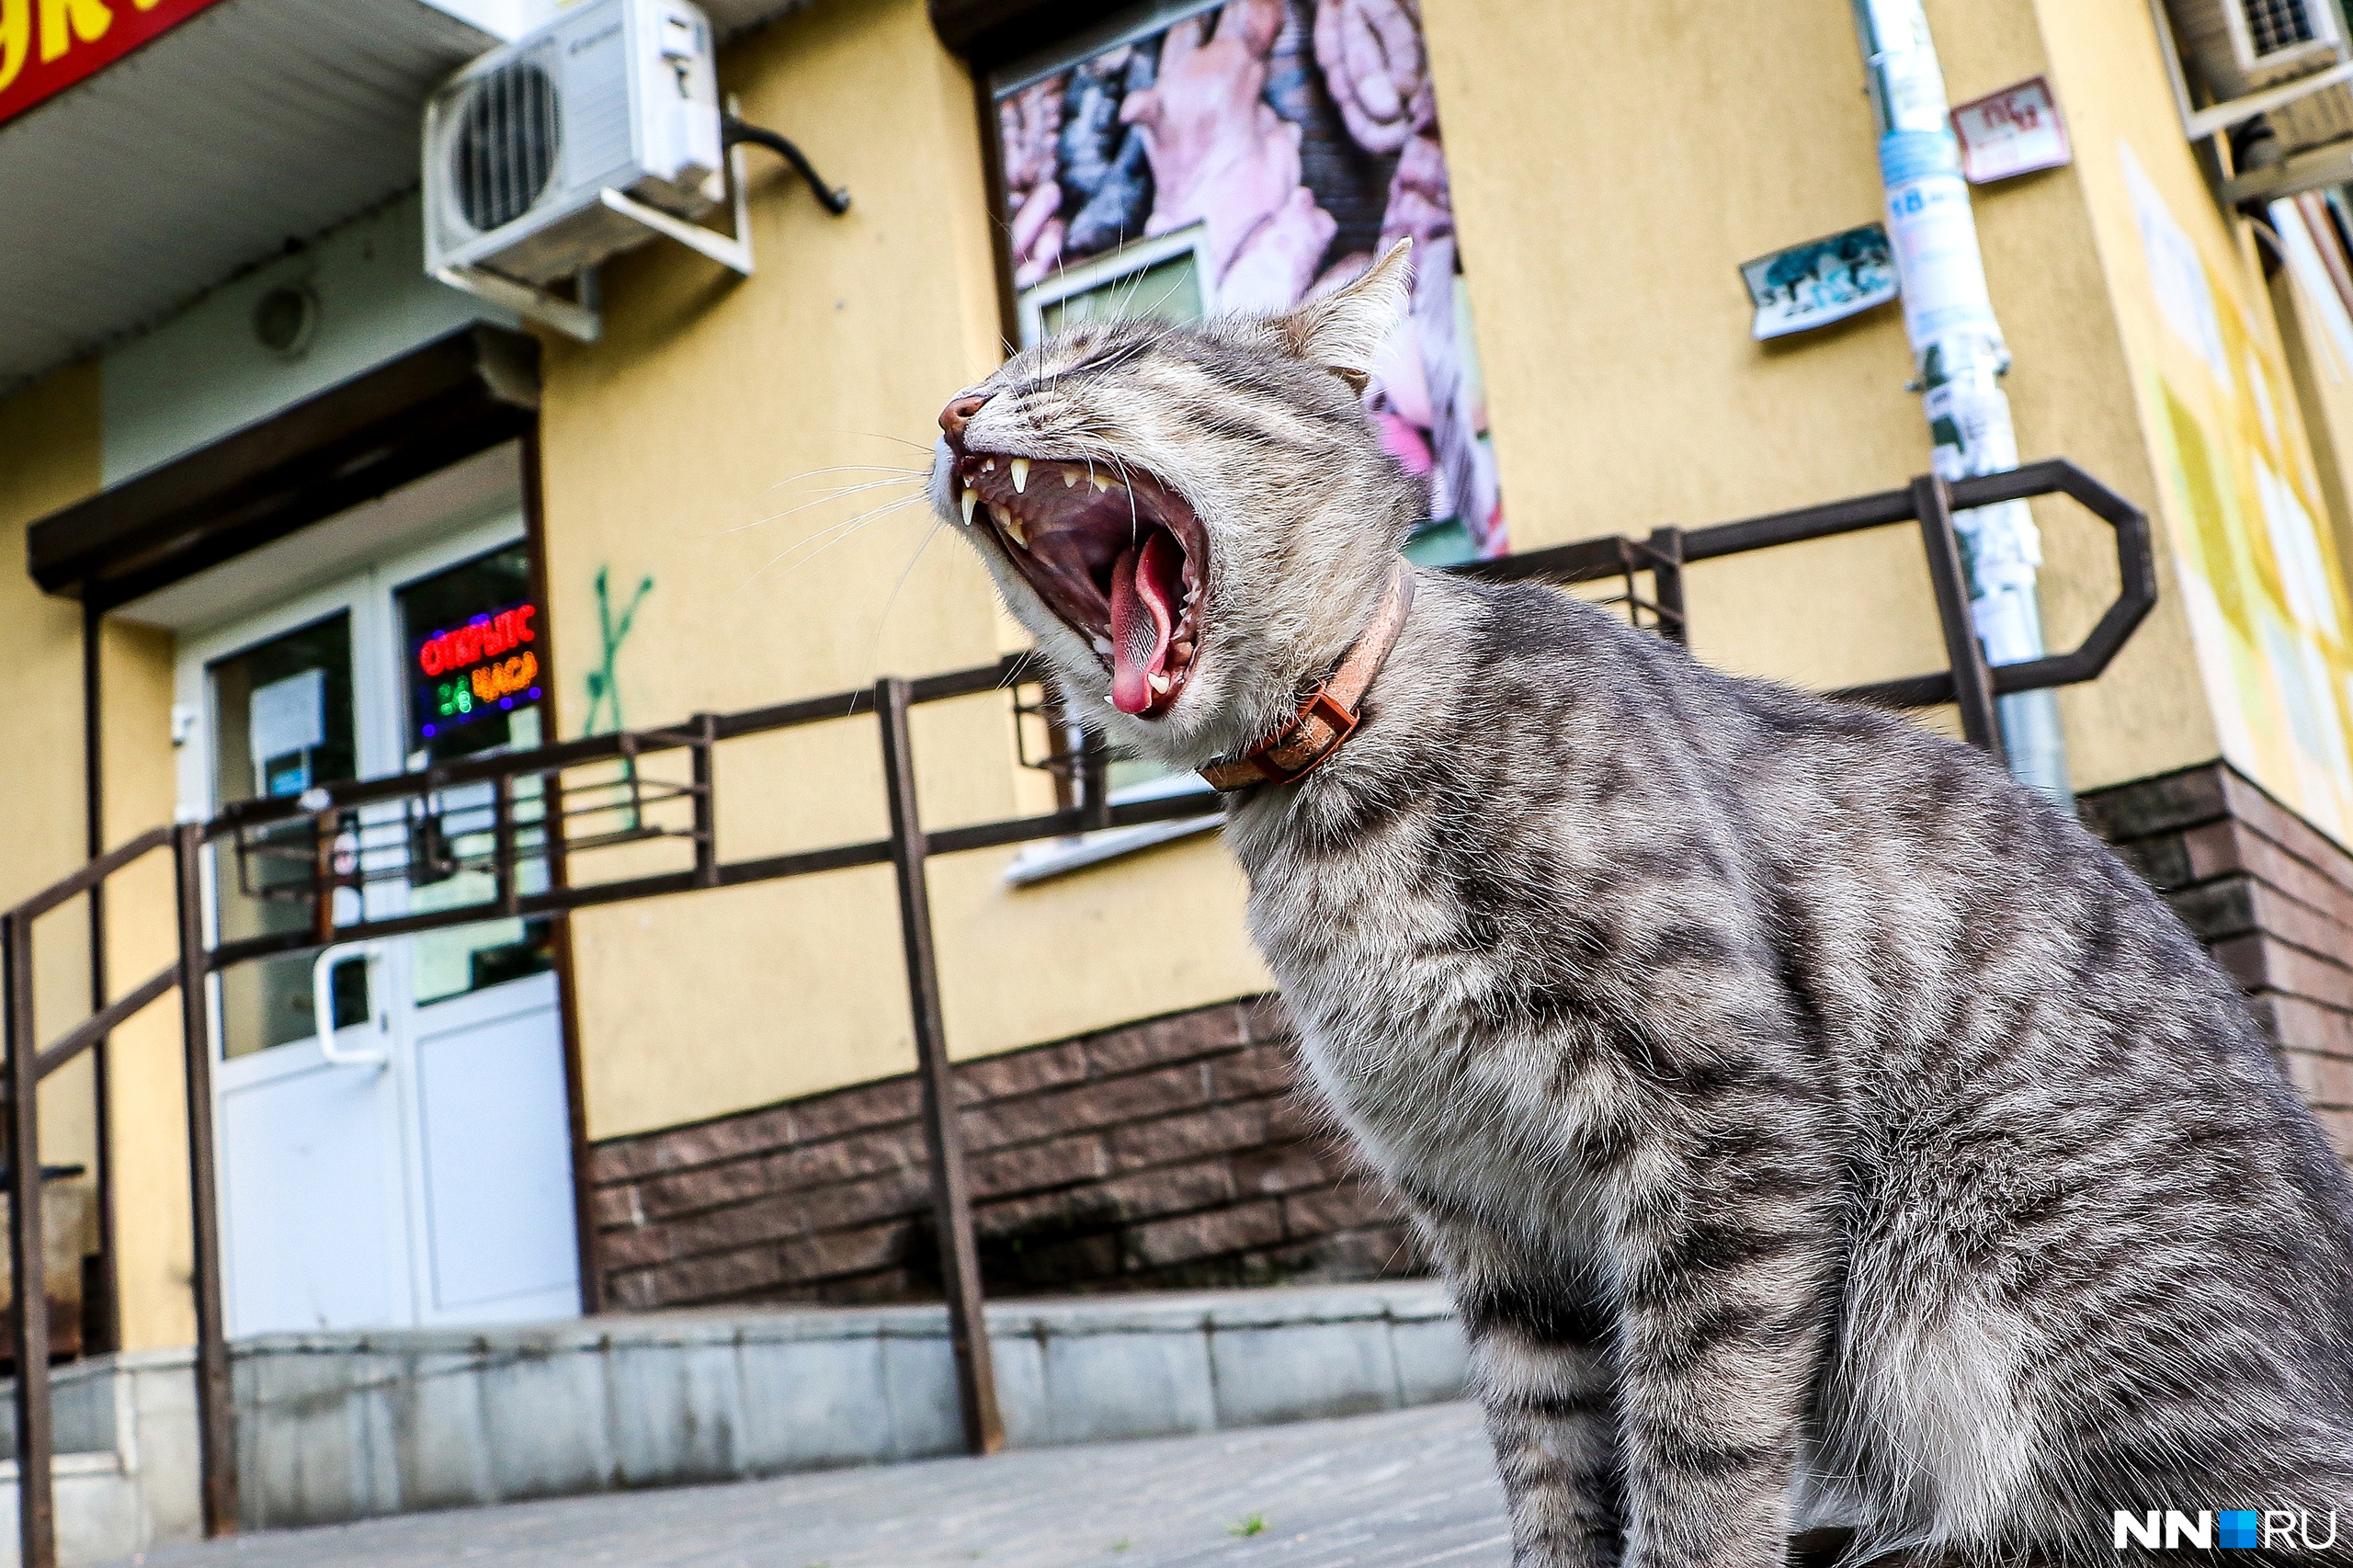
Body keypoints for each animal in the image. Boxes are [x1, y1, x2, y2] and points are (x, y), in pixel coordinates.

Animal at [922, 237, 2353, 1553]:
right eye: (992, 372)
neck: (1328, 800)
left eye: (1107, 354)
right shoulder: (1489, 1218)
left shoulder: (1721, 1129)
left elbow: (1699, 1455)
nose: (951, 409)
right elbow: (1550, 1469)